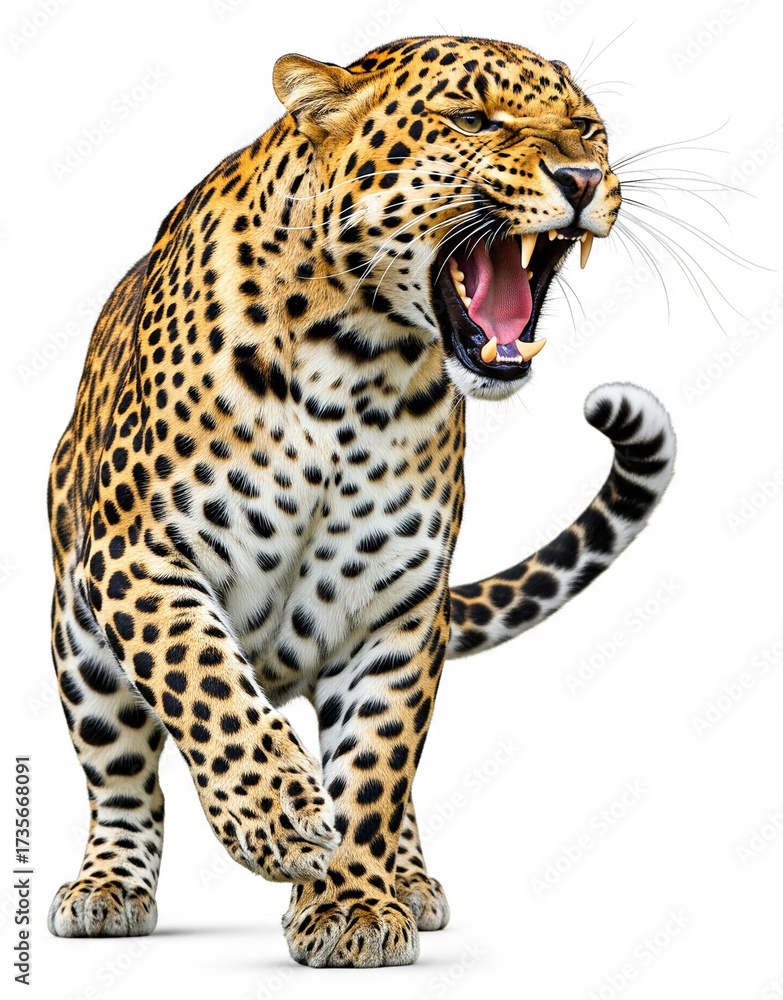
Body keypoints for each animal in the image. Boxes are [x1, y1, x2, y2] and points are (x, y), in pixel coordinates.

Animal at [46, 35, 675, 968]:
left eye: (588, 128)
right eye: (471, 120)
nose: (583, 176)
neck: (359, 361)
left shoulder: (398, 608)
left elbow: (375, 765)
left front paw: (350, 904)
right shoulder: (143, 555)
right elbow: (206, 686)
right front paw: (275, 818)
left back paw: (408, 881)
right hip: (78, 642)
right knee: (122, 775)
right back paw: (108, 887)